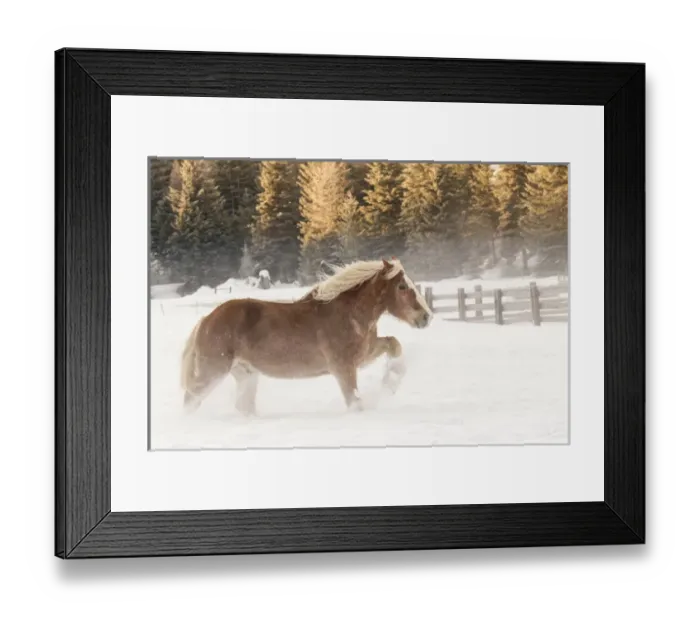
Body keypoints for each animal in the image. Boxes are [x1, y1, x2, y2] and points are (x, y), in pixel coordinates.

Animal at [180, 258, 433, 414]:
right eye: (402, 286)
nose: (426, 317)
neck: (347, 313)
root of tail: (206, 320)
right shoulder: (343, 367)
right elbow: (354, 402)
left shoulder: (364, 355)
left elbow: (394, 345)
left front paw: (390, 384)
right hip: (213, 372)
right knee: (191, 399)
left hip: (246, 375)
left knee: (242, 406)